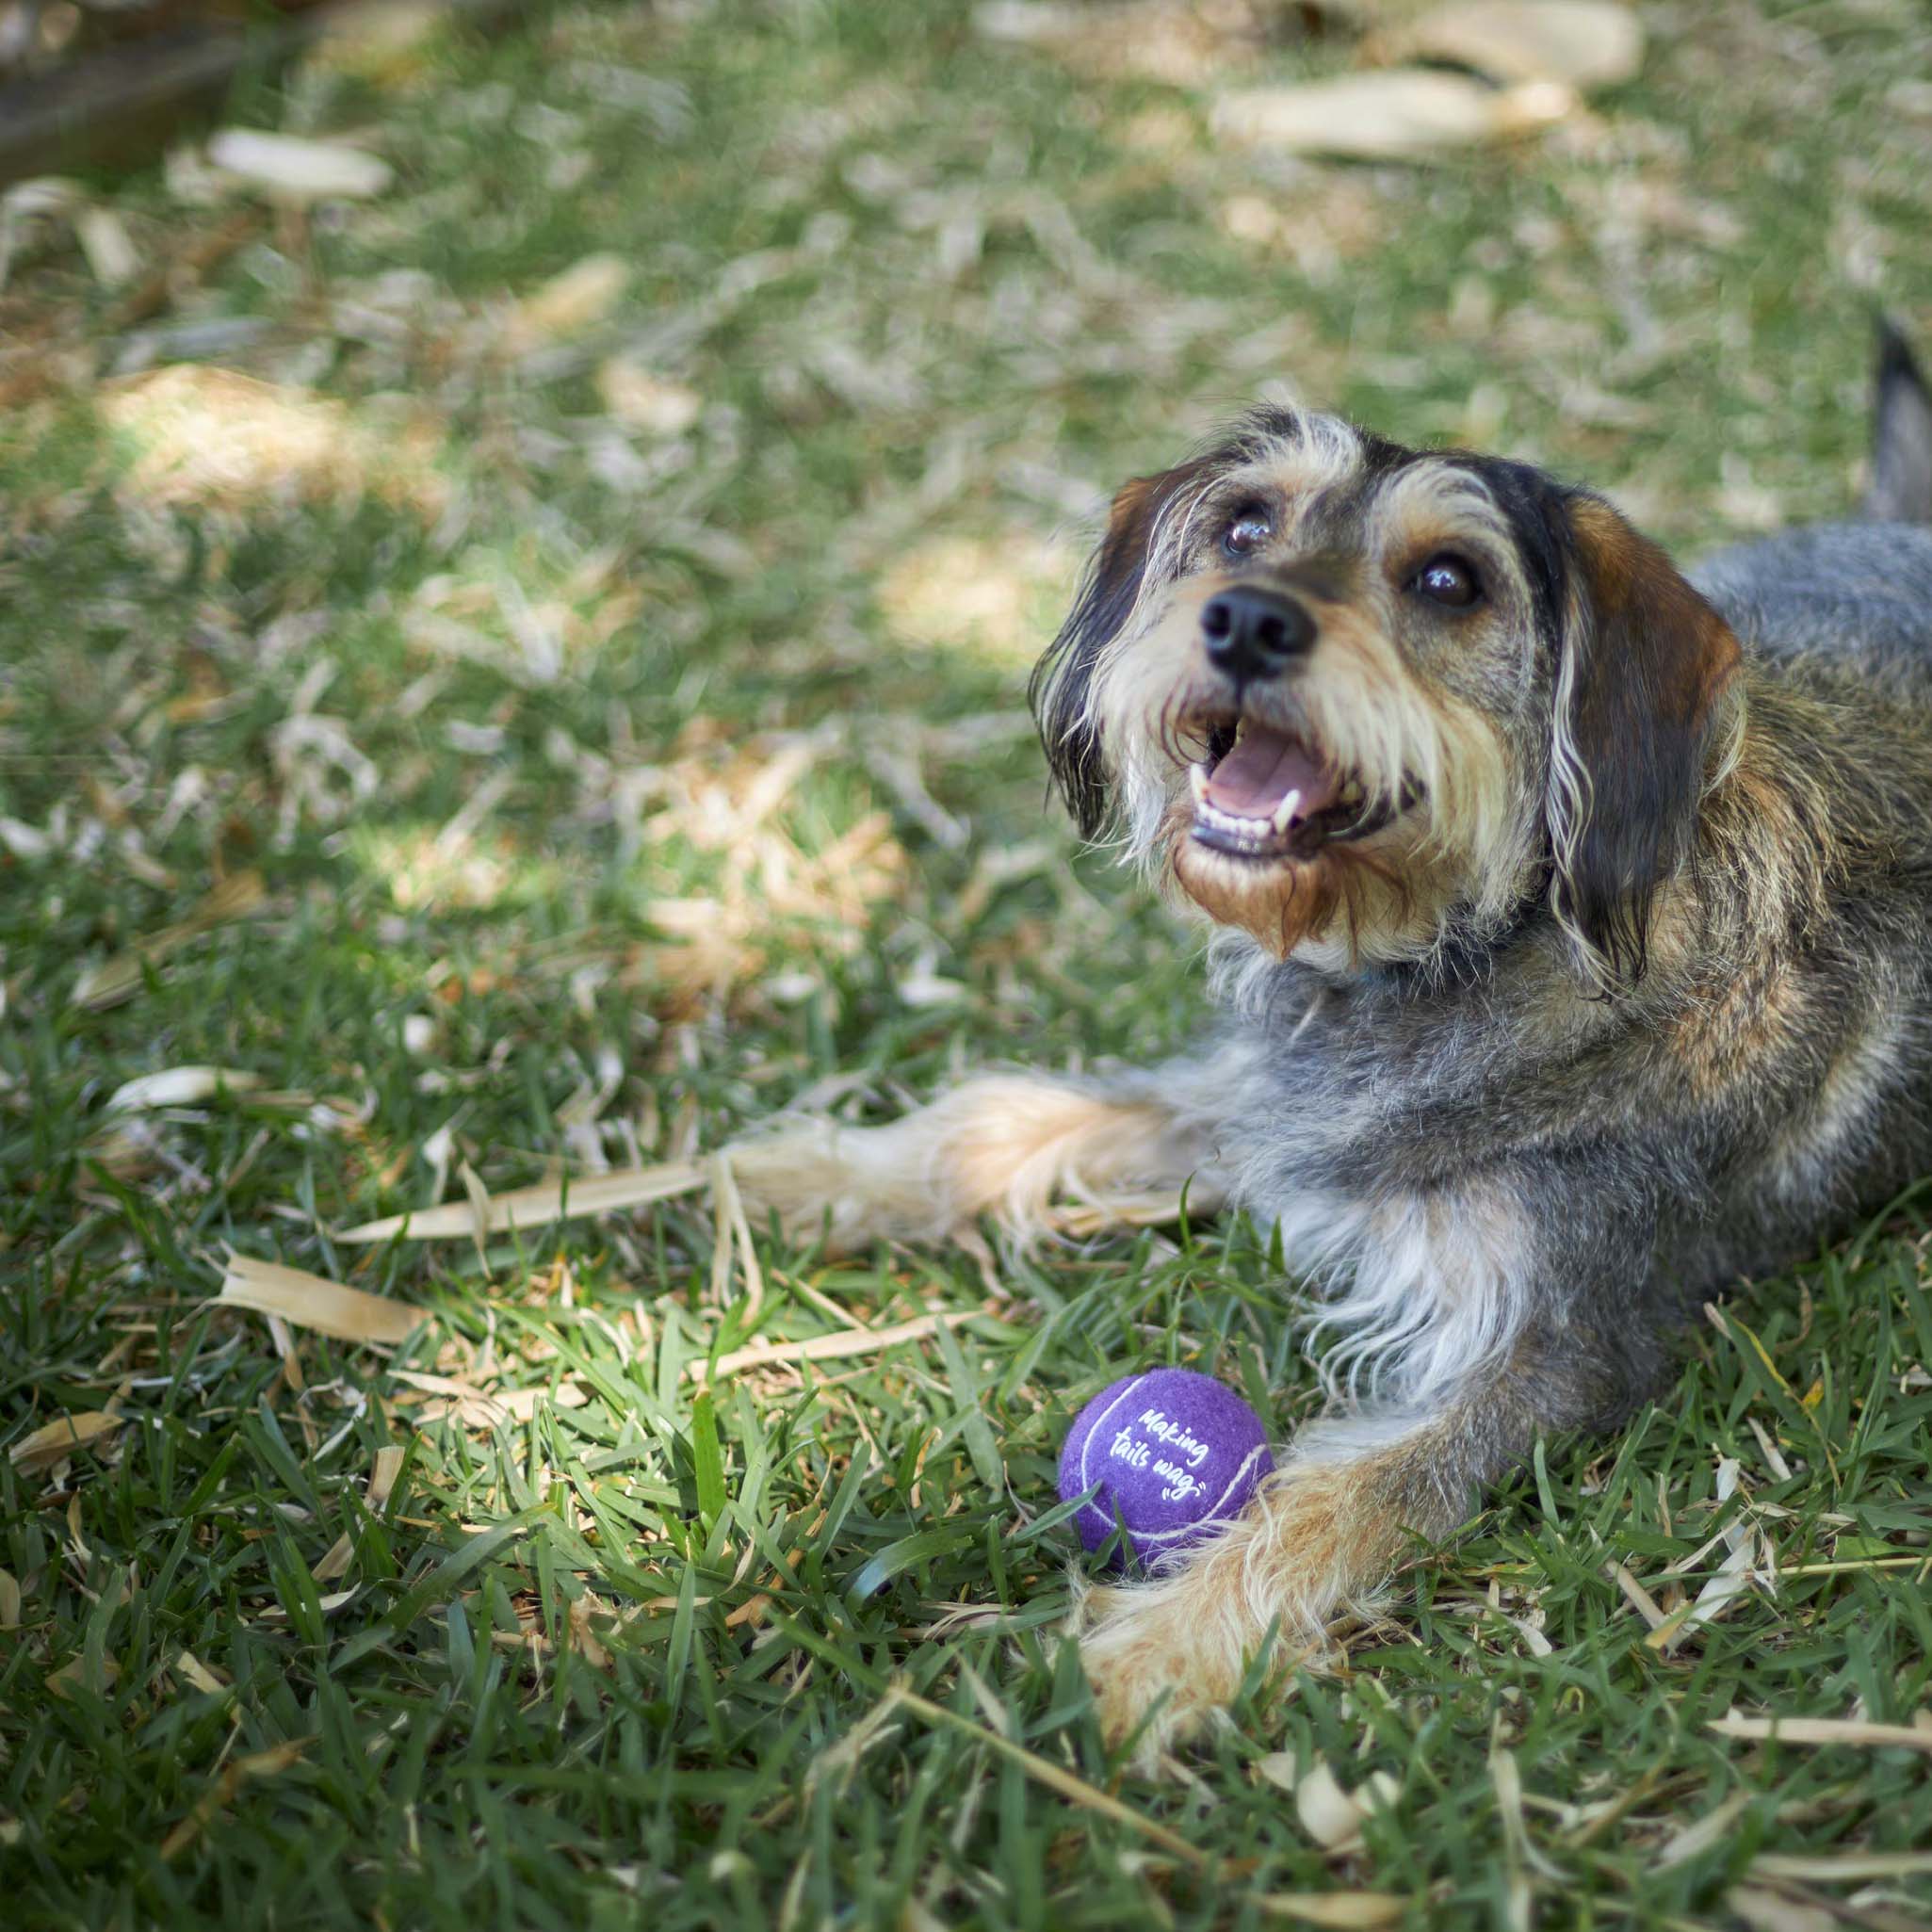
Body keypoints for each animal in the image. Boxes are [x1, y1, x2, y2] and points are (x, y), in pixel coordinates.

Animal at [726, 324, 1932, 1762]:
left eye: (1448, 579)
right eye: (1245, 523)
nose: (1244, 618)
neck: (1459, 945)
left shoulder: (1555, 1348)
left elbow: (1340, 1492)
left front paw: (1148, 1659)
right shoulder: (1270, 1106)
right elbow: (1019, 1114)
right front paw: (808, 1175)